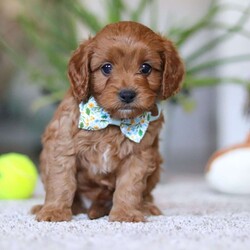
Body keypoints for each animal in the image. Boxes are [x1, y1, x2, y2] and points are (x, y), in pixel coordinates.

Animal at [31, 20, 185, 222]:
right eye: (106, 68)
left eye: (146, 68)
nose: (127, 94)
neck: (111, 121)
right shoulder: (62, 145)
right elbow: (61, 182)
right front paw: (54, 211)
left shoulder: (139, 155)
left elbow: (129, 187)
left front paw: (125, 213)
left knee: (144, 195)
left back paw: (146, 207)